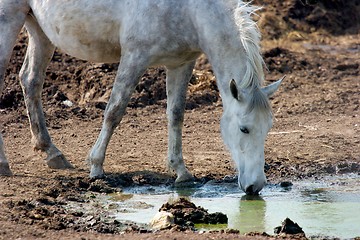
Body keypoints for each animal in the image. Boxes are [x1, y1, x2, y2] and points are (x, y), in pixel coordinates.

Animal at [0, 0, 282, 195]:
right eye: (244, 129)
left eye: (268, 128)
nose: (256, 186)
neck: (189, 10)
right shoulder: (135, 58)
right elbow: (114, 110)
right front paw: (96, 166)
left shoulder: (181, 63)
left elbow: (176, 114)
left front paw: (180, 170)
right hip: (9, 21)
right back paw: (5, 163)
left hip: (39, 29)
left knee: (30, 80)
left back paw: (52, 153)